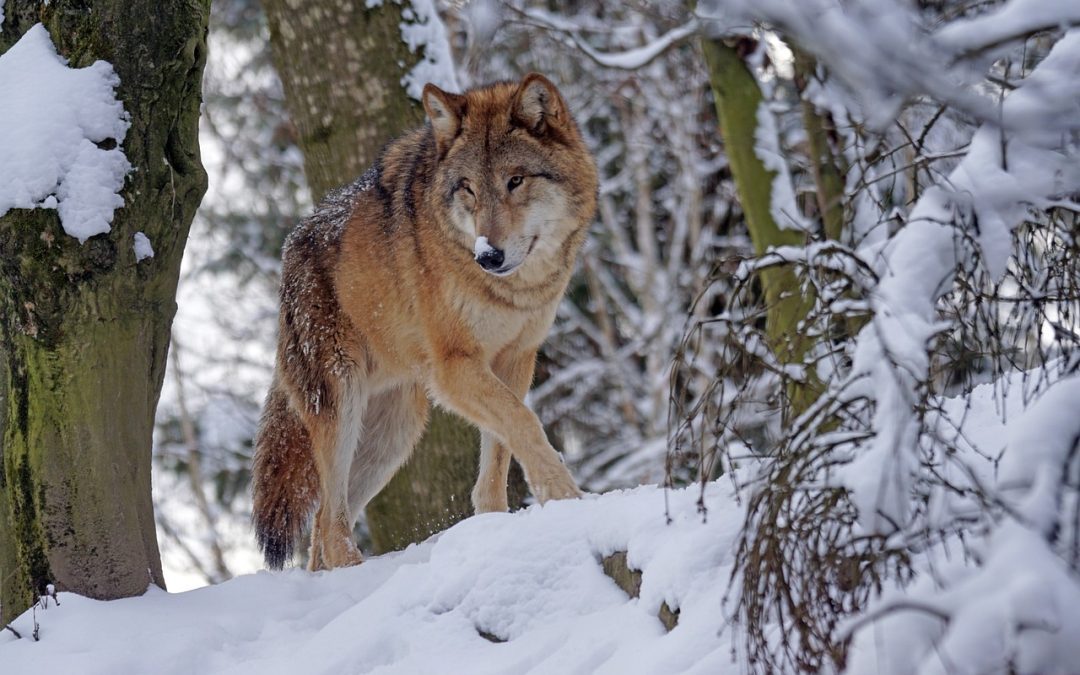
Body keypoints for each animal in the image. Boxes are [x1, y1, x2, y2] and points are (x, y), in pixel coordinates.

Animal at [251, 73, 598, 570]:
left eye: (515, 180)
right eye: (468, 187)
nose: (488, 256)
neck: (513, 291)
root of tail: (289, 249)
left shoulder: (515, 359)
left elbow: (500, 451)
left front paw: (497, 526)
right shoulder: (455, 368)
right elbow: (526, 424)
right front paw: (567, 498)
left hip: (394, 433)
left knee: (321, 527)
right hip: (342, 405)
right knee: (330, 523)